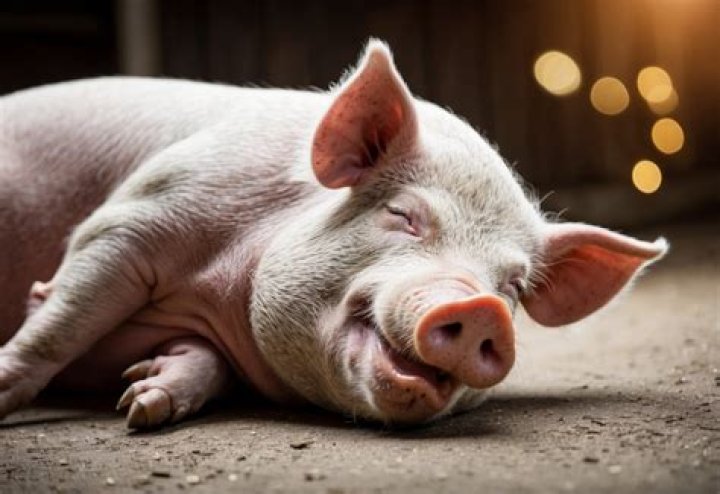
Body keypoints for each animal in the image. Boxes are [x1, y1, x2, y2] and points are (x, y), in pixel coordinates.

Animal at [0, 40, 667, 429]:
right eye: (403, 215)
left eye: (513, 285)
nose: (481, 307)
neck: (218, 293)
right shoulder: (135, 217)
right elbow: (60, 325)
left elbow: (201, 362)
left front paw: (142, 405)